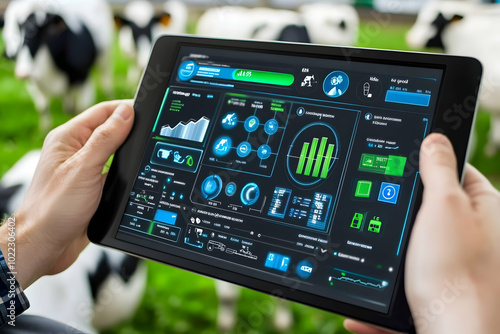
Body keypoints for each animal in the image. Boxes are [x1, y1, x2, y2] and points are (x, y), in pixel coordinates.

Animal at [1, 0, 113, 132]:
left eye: (37, 30)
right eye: (6, 36)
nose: (23, 73)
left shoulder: (83, 78)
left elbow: (83, 109)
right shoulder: (35, 85)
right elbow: (43, 107)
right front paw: (45, 130)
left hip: (105, 55)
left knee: (105, 78)